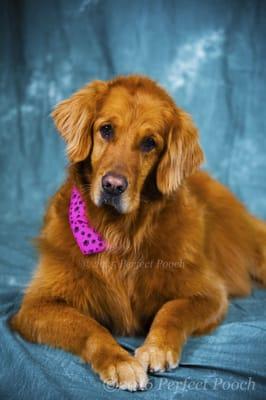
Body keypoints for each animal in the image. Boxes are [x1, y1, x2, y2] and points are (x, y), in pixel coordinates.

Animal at [9, 74, 266, 390]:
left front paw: (157, 347)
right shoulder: (36, 306)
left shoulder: (209, 293)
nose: (113, 186)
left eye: (149, 143)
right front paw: (120, 361)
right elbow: (89, 326)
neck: (119, 233)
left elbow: (172, 311)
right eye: (106, 130)